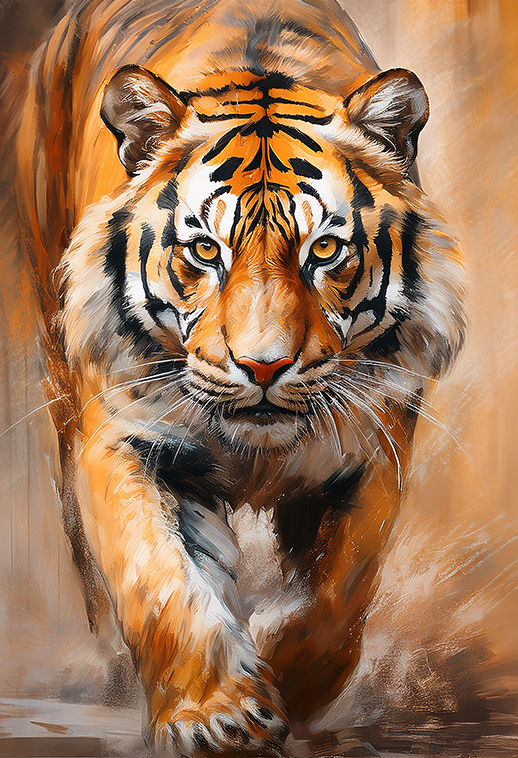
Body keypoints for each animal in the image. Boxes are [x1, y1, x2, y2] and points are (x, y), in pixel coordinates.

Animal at [14, 0, 466, 754]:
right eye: (205, 250)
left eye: (324, 249)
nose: (264, 366)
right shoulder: (127, 440)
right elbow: (161, 582)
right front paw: (216, 717)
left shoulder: (374, 451)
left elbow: (338, 593)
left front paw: (287, 680)